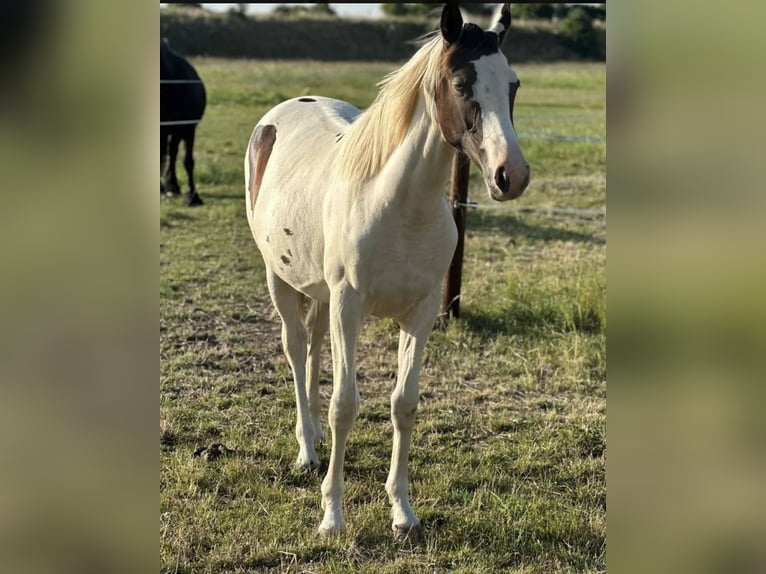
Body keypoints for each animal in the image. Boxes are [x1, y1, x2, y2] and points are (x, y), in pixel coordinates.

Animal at [161, 38, 206, 206]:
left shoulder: (188, 128)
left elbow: (188, 161)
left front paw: (193, 196)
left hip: (177, 131)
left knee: (172, 151)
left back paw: (172, 184)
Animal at [244, 3, 529, 537]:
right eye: (461, 83)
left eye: (513, 84)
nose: (512, 175)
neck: (397, 204)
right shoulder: (349, 306)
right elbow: (346, 405)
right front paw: (333, 516)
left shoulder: (420, 312)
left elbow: (404, 404)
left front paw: (402, 512)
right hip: (281, 280)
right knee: (295, 347)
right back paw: (306, 448)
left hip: (321, 293)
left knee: (313, 346)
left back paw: (313, 436)